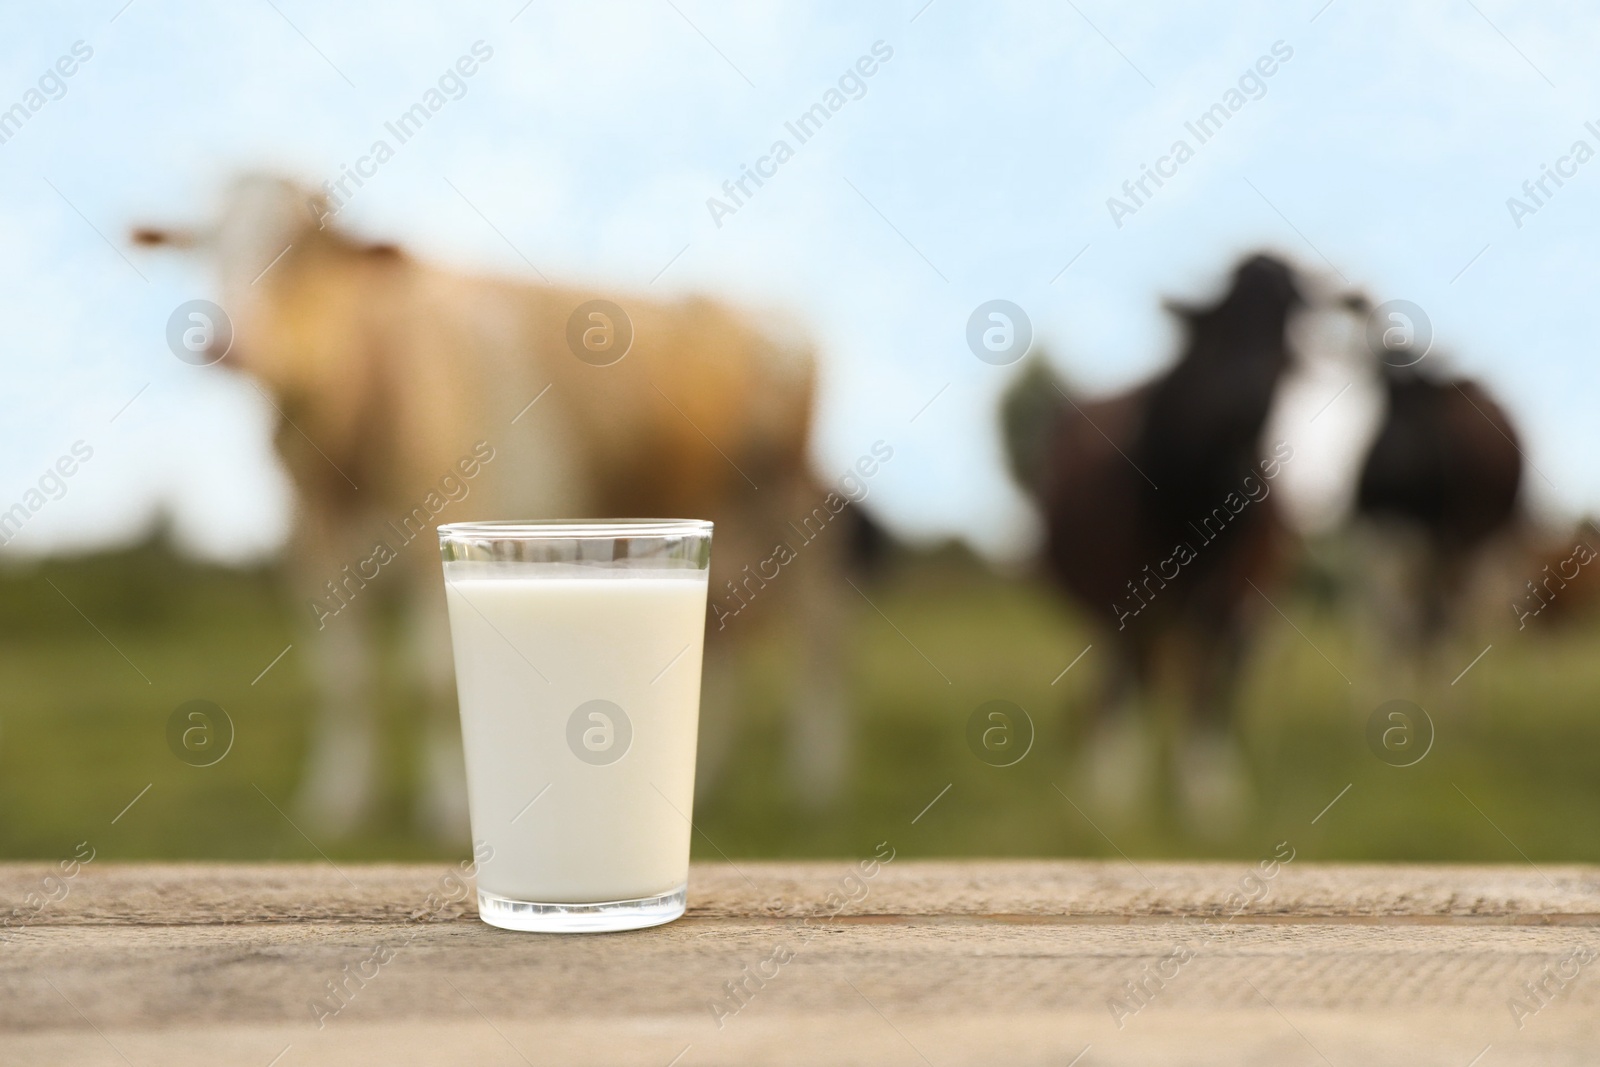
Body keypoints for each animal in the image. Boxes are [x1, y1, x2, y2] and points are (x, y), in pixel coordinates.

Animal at [136, 175, 851, 838]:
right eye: (209, 244)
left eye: (305, 254)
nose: (226, 343)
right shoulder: (313, 554)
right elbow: (345, 680)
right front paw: (338, 800)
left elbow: (430, 683)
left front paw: (447, 809)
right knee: (726, 636)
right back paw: (713, 781)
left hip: (788, 503)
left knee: (816, 628)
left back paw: (815, 778)